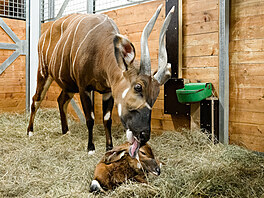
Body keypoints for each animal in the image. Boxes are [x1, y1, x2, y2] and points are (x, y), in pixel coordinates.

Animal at [27, 3, 175, 157]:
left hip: (69, 86)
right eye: (138, 87)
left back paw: (65, 131)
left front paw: (109, 147)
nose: (144, 135)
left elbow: (107, 119)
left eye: (156, 93)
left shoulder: (108, 91)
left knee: (61, 100)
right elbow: (90, 118)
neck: (99, 51)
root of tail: (43, 35)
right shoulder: (84, 88)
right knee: (36, 99)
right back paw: (30, 132)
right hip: (43, 73)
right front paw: (91, 148)